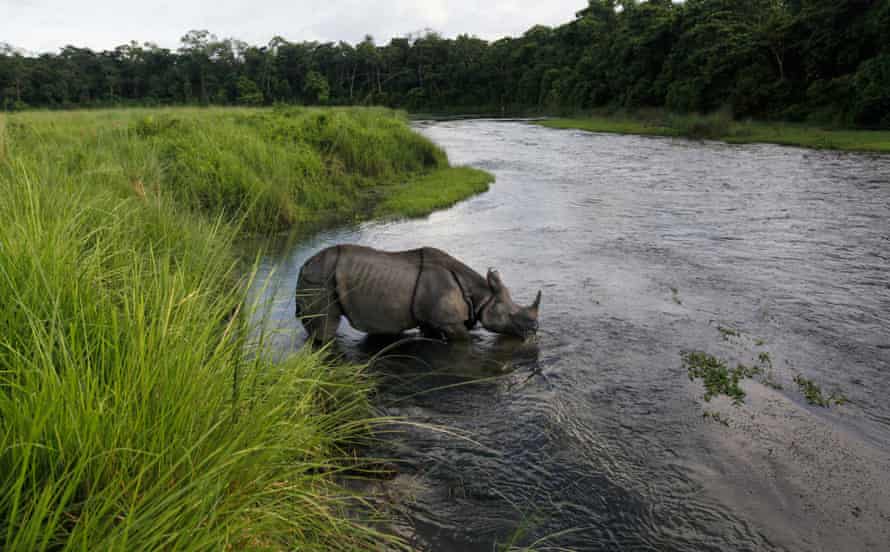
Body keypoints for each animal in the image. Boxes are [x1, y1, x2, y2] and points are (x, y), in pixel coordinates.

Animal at [294, 245, 536, 340]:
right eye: (511, 316)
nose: (534, 330)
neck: (480, 295)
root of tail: (303, 266)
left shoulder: (431, 318)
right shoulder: (449, 321)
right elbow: (464, 340)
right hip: (318, 280)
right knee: (325, 328)